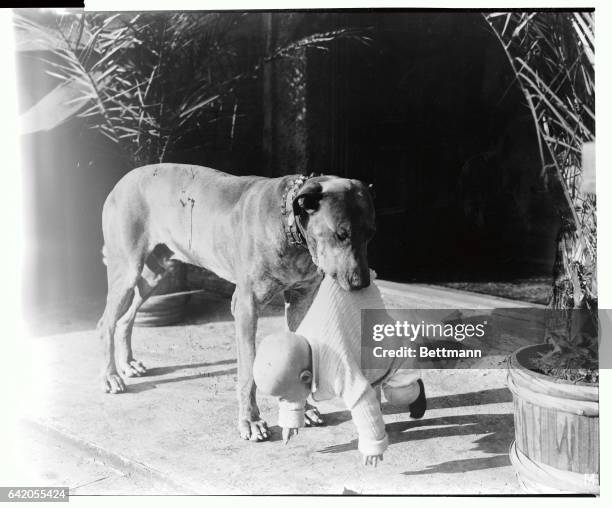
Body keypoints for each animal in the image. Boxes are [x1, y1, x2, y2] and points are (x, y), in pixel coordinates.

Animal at [98, 166, 376, 440]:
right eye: (341, 234)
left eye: (370, 234)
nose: (363, 283)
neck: (288, 228)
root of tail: (123, 179)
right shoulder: (246, 307)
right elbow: (247, 371)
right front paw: (250, 421)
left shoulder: (301, 300)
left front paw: (302, 409)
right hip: (127, 268)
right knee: (106, 323)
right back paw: (110, 375)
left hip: (156, 273)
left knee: (125, 318)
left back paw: (128, 363)